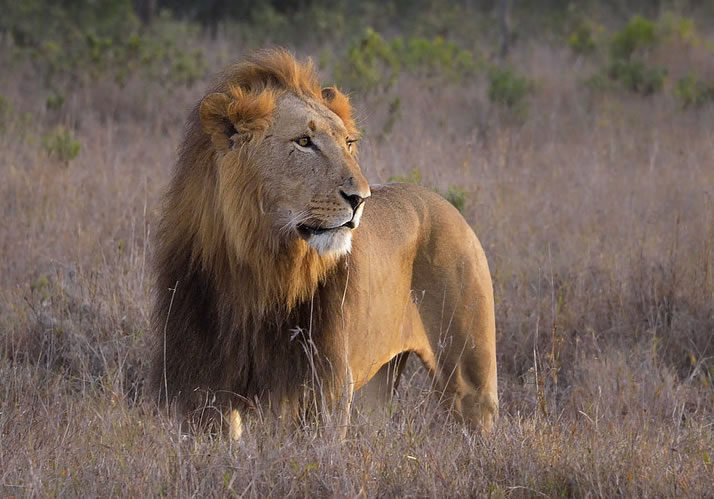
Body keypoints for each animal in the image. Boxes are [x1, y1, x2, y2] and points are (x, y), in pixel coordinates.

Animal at [150, 47, 496, 438]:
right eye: (304, 142)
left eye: (348, 143)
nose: (361, 198)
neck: (256, 267)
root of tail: (445, 203)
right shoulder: (203, 386)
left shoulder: (321, 387)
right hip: (378, 383)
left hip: (469, 377)